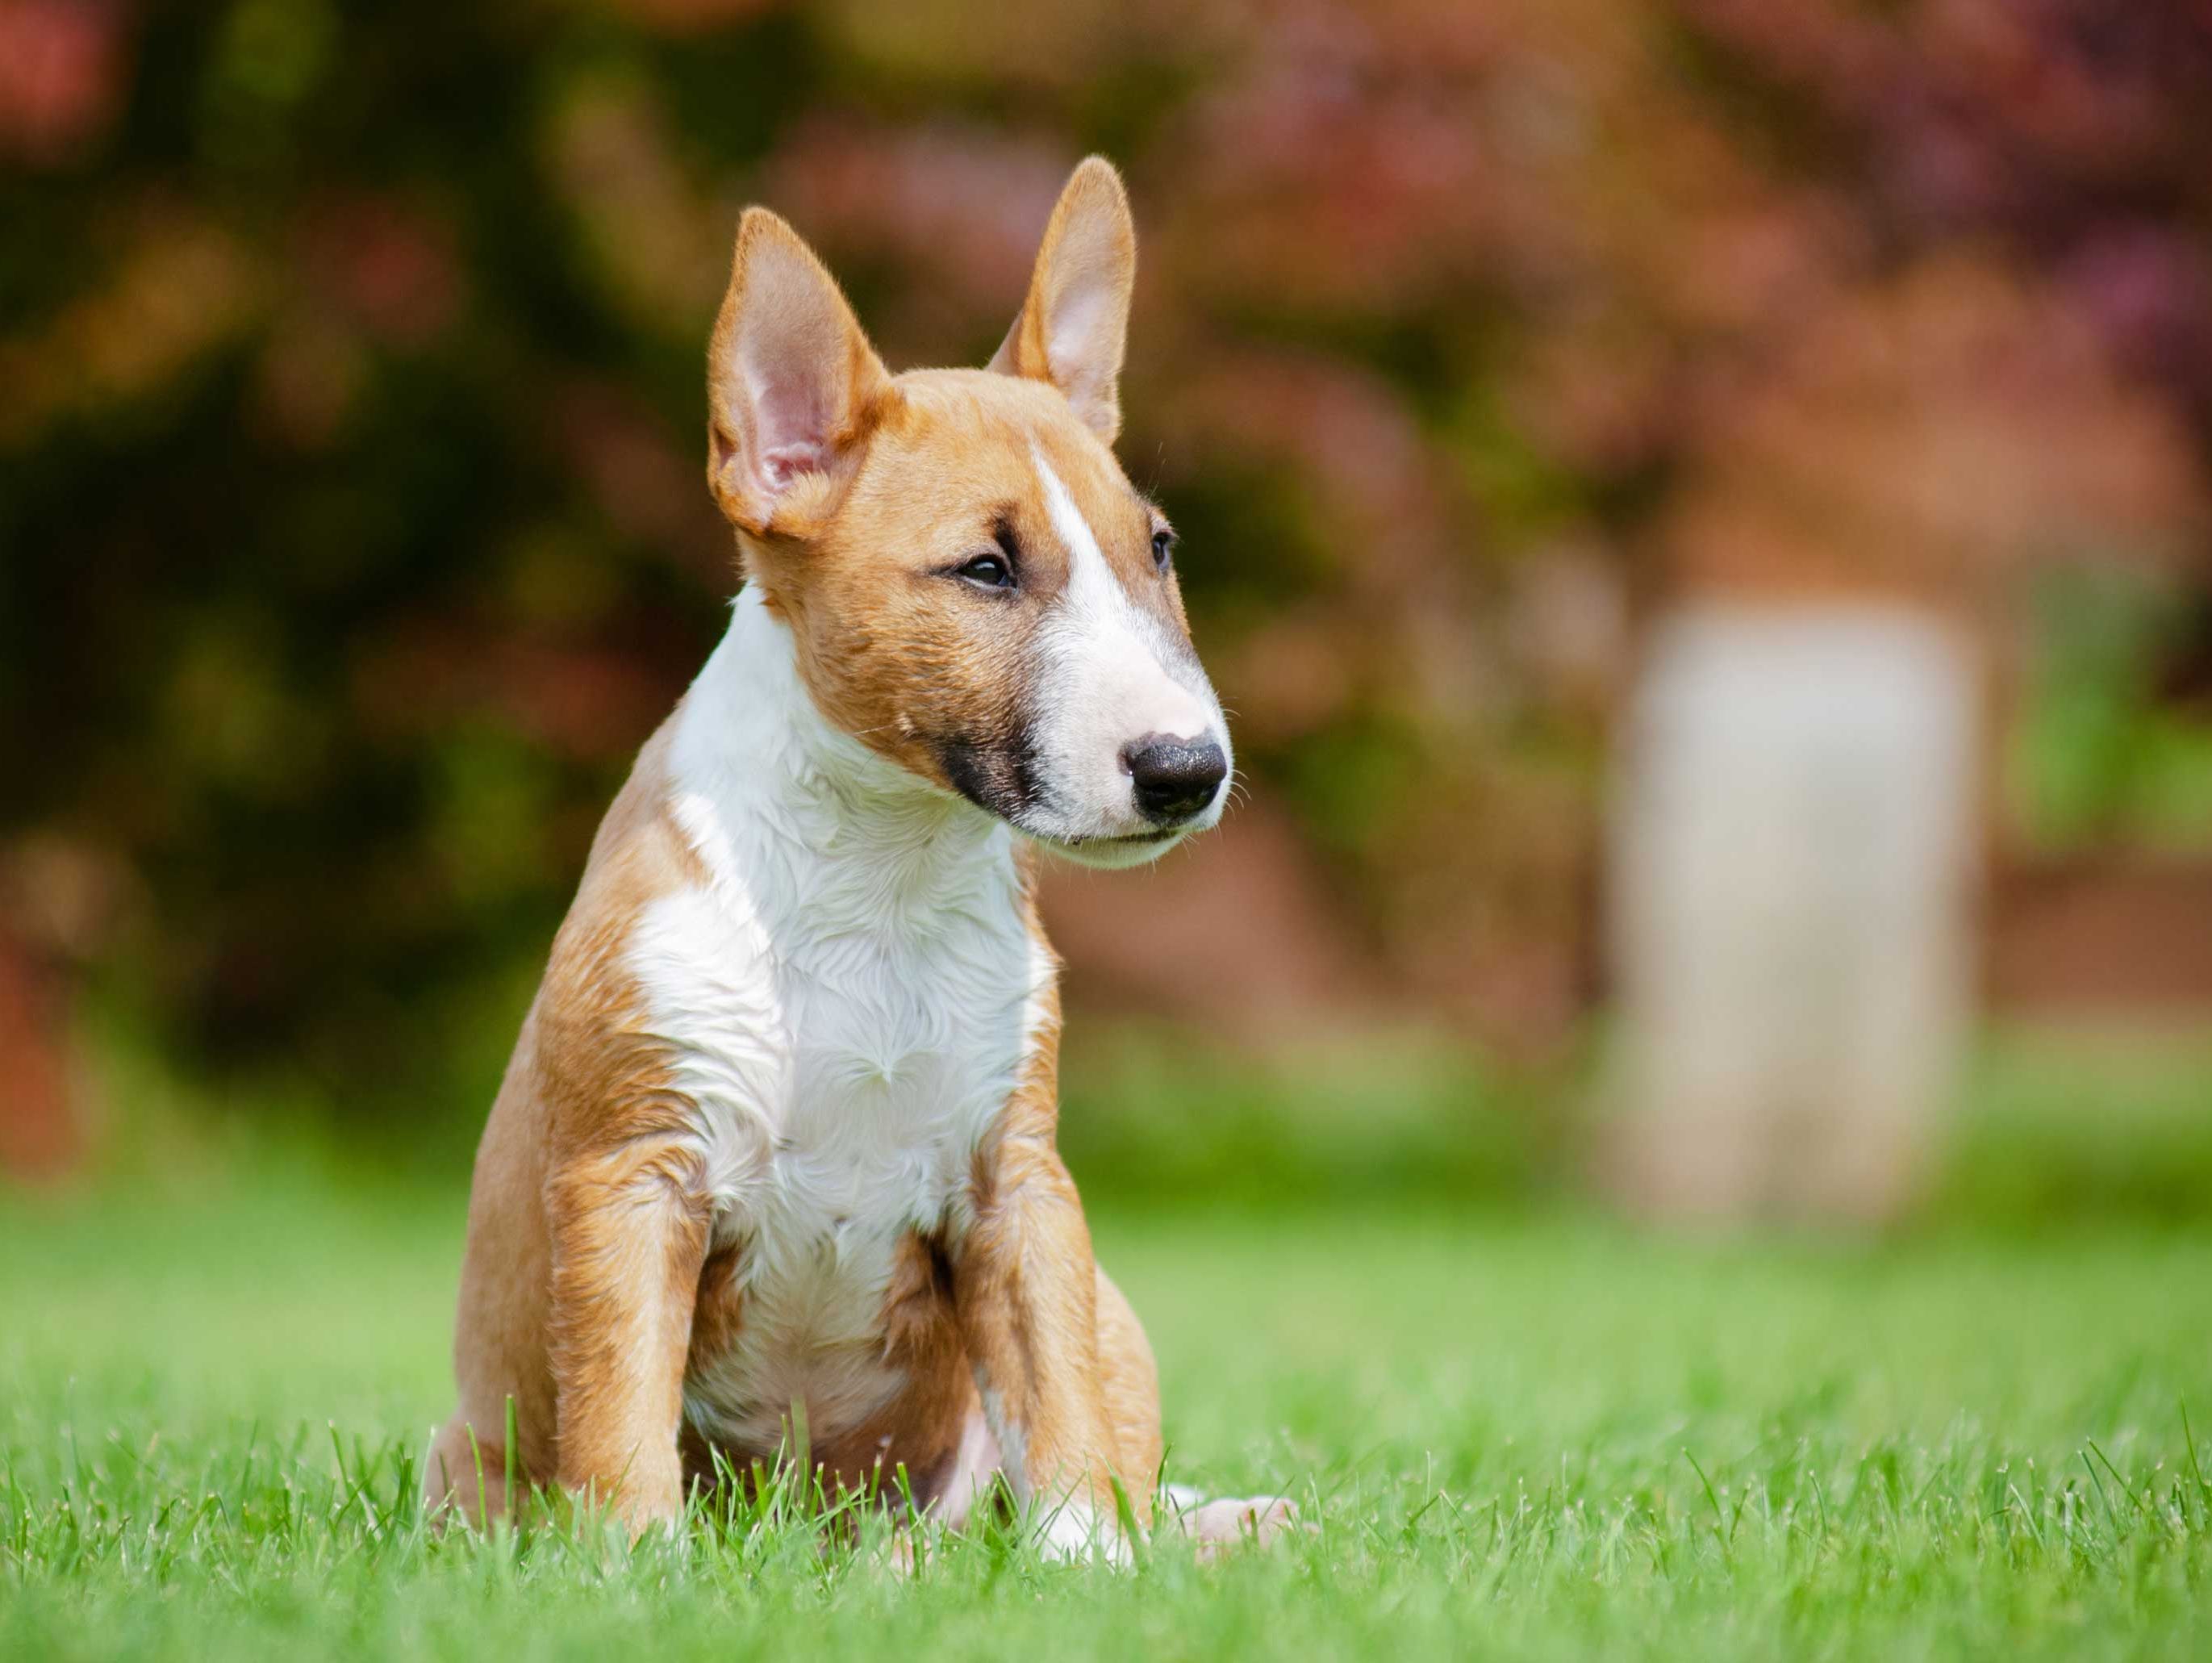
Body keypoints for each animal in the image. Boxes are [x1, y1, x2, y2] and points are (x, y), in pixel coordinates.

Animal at [428, 156, 1292, 1556]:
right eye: (984, 569)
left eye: (1157, 550)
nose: (1185, 771)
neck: (877, 875)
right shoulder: (633, 1179)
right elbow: (619, 1416)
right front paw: (631, 1568)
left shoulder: (1016, 1186)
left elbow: (1065, 1411)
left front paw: (1093, 1566)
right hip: (466, 1451)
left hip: (1107, 1314)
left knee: (1103, 1437)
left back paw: (1219, 1523)